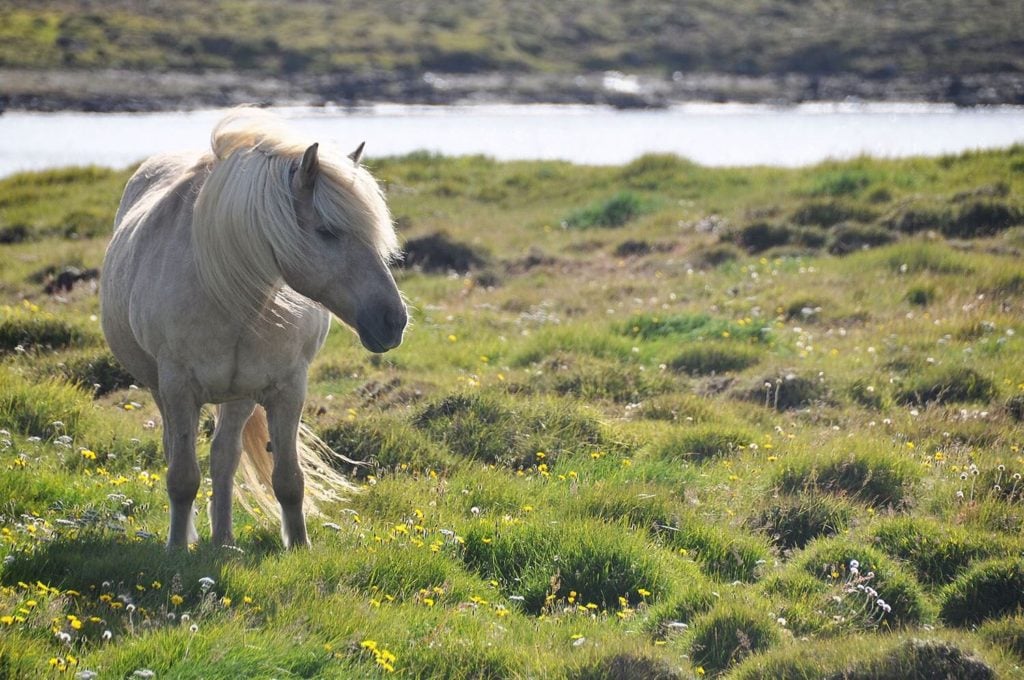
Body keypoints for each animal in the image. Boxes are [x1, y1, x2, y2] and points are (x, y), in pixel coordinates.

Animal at [100, 109, 407, 548]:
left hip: (239, 396)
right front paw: (176, 548)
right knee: (180, 453)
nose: (393, 321)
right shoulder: (177, 388)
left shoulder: (288, 390)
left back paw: (224, 540)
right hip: (163, 390)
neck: (229, 296)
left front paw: (299, 546)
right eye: (328, 231)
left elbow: (289, 479)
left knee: (224, 457)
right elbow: (182, 477)